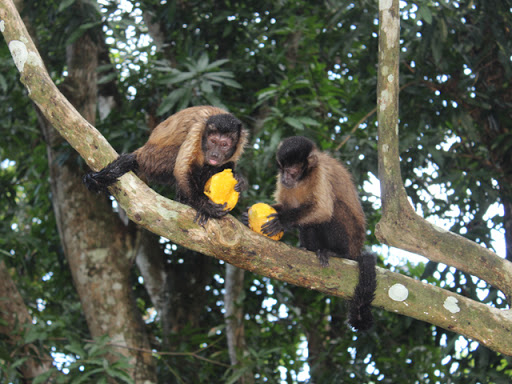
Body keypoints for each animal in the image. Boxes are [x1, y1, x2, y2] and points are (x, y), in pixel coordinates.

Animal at [83, 106, 249, 225]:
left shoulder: (240, 142)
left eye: (224, 145)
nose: (215, 154)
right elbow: (182, 169)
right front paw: (204, 206)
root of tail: (142, 151)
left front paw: (239, 179)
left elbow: (229, 163)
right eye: (213, 141)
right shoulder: (198, 129)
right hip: (154, 159)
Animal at [264, 136, 376, 330]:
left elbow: (322, 210)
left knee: (333, 209)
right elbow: (288, 206)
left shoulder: (320, 173)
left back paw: (337, 253)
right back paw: (308, 248)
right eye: (283, 170)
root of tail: (356, 250)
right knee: (307, 224)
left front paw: (281, 221)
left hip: (351, 238)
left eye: (292, 171)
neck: (304, 178)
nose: (285, 177)